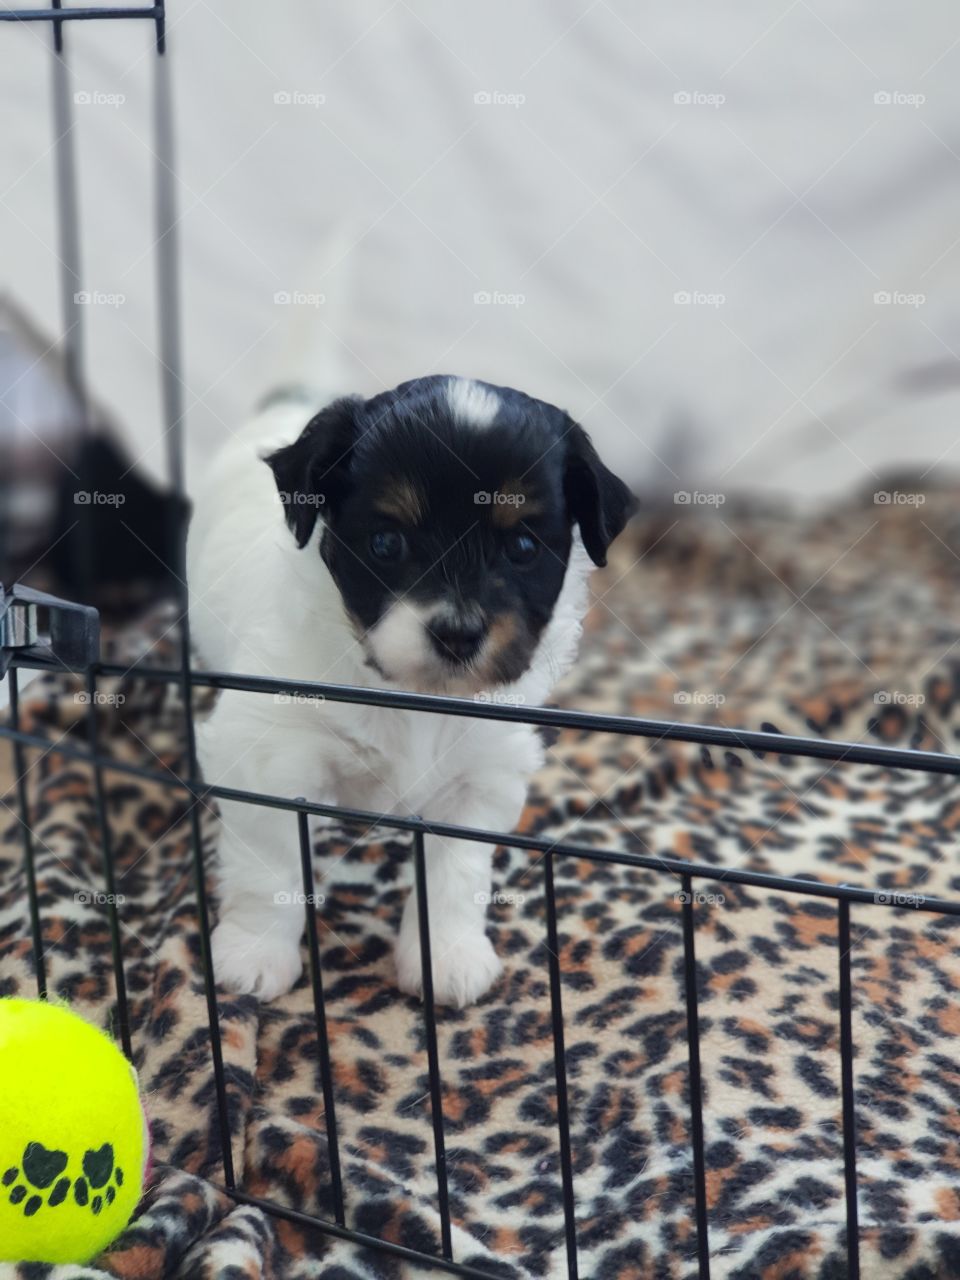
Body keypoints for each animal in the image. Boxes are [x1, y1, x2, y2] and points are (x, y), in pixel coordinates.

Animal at [188, 373, 640, 1003]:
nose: (458, 634)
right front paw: (254, 953)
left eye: (523, 548)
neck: (408, 694)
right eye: (386, 544)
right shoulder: (268, 752)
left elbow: (455, 875)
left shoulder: (480, 778)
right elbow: (270, 865)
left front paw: (446, 956)